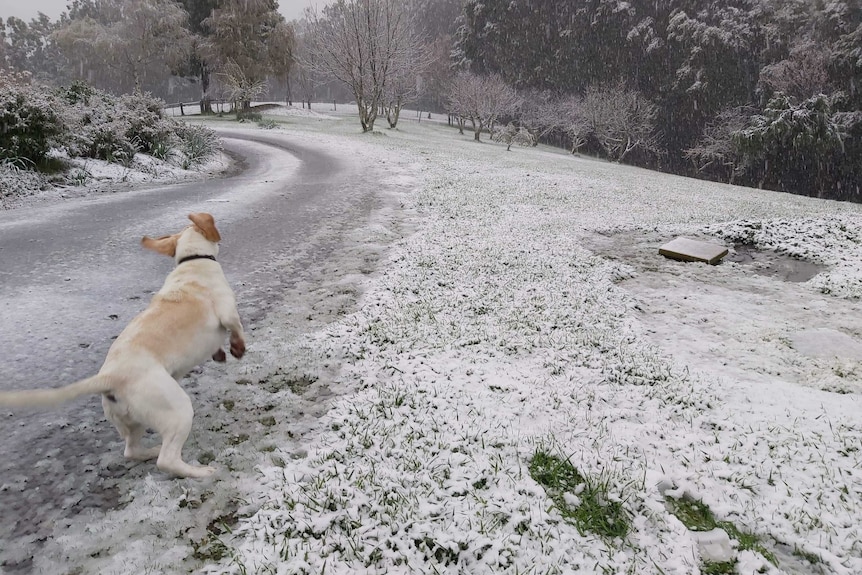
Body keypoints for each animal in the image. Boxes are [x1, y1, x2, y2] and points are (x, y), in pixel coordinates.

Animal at [0, 214, 246, 480]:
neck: (193, 259)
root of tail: (109, 377)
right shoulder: (227, 311)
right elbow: (236, 327)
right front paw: (238, 349)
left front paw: (220, 354)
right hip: (177, 410)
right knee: (167, 460)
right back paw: (201, 472)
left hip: (133, 421)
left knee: (131, 451)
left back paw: (150, 451)